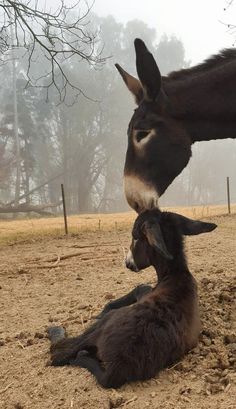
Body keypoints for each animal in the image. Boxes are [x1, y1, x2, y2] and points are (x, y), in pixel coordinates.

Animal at [48, 209, 216, 388]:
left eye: (135, 237)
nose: (128, 264)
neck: (176, 274)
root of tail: (118, 366)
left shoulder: (144, 293)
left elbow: (141, 287)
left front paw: (105, 308)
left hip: (107, 323)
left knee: (59, 353)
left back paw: (59, 333)